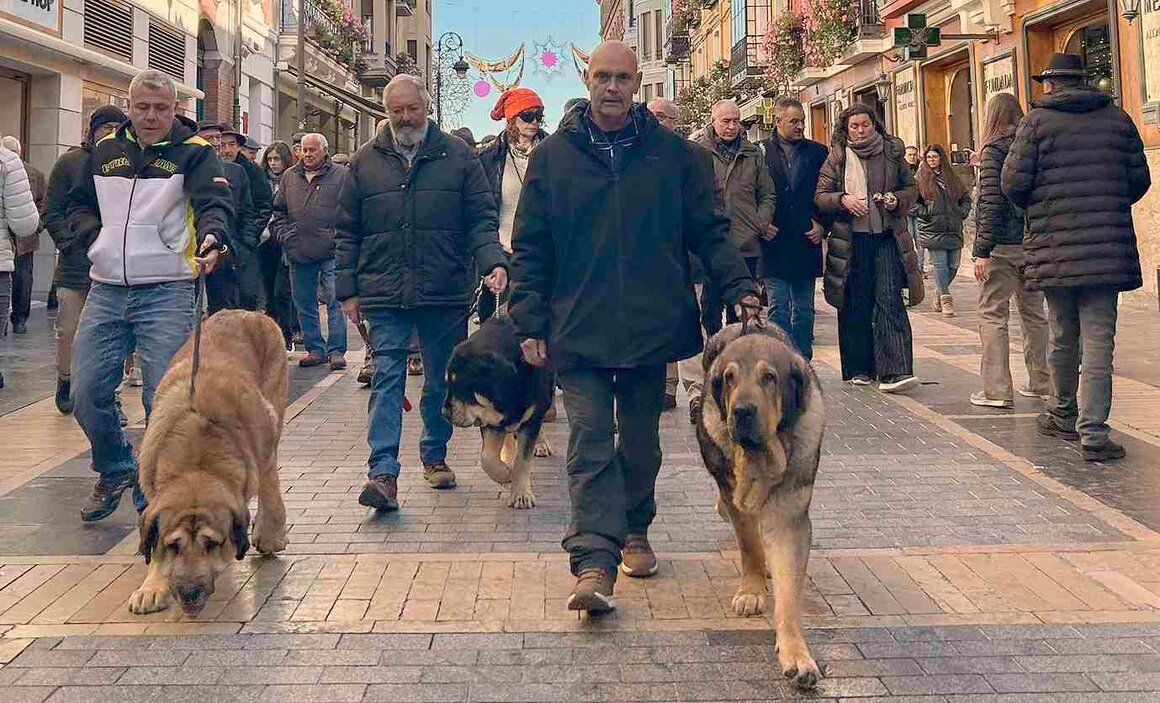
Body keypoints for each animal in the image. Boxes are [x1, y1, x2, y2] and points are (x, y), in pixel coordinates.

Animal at [127, 313, 287, 617]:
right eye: (173, 545)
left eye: (212, 544)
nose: (190, 593)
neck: (197, 461)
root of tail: (248, 312)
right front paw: (152, 585)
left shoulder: (265, 431)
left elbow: (269, 481)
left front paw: (270, 532)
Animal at [440, 317, 554, 510]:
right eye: (448, 384)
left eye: (461, 387)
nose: (444, 412)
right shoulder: (490, 419)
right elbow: (487, 458)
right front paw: (505, 473)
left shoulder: (532, 416)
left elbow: (523, 460)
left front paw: (521, 494)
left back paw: (540, 444)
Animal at [691, 322, 821, 691]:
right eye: (730, 377)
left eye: (769, 377)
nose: (742, 411)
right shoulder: (738, 500)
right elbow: (749, 545)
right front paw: (751, 591)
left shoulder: (789, 517)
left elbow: (789, 594)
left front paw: (796, 654)